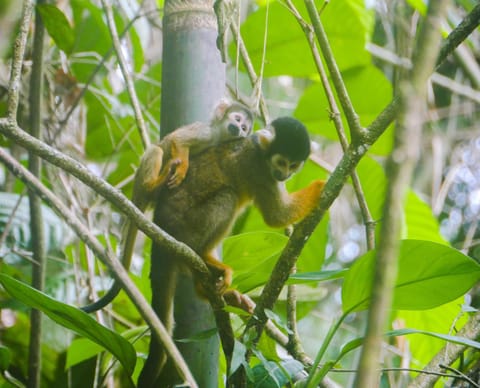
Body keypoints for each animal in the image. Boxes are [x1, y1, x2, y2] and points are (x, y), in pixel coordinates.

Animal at [81, 100, 255, 312]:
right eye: (237, 119)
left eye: (244, 128)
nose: (238, 128)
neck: (220, 136)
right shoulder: (205, 132)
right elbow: (177, 140)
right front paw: (182, 168)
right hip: (141, 181)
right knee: (157, 150)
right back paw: (155, 183)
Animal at [139, 116, 326, 384]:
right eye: (281, 163)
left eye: (293, 166)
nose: (283, 175)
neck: (260, 150)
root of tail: (161, 225)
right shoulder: (261, 172)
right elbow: (277, 216)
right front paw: (321, 186)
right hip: (186, 228)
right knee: (228, 196)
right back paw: (204, 257)